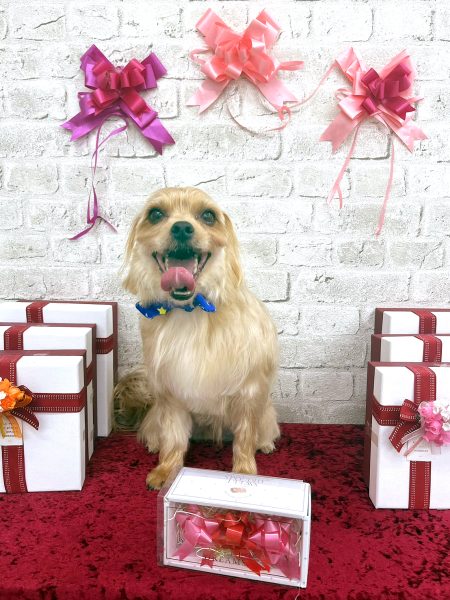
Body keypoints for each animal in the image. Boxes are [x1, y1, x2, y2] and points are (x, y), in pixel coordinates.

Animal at [116, 187, 279, 489]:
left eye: (208, 216)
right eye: (156, 214)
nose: (181, 227)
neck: (191, 311)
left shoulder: (248, 392)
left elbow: (244, 439)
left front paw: (244, 473)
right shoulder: (170, 391)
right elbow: (173, 438)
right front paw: (166, 470)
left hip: (265, 413)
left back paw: (265, 444)